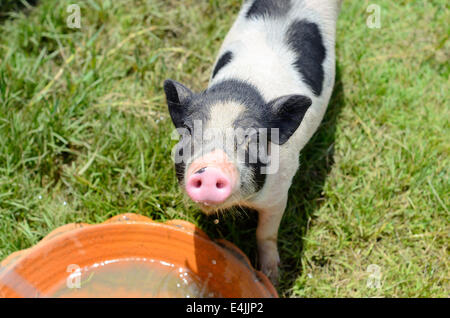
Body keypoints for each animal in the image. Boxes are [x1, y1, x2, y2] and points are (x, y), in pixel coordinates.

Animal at [163, 0, 342, 284]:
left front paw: (272, 277)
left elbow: (266, 233)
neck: (241, 89)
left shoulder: (280, 193)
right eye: (189, 130)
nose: (210, 168)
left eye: (254, 136)